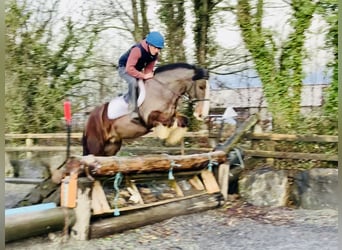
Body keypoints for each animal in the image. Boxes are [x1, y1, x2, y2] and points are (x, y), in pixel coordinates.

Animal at [83, 62, 211, 156]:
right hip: (96, 146)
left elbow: (183, 120)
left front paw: (172, 138)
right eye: (201, 87)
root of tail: (90, 118)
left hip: (111, 146)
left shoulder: (172, 114)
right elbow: (165, 120)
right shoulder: (150, 117)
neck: (162, 90)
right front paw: (164, 134)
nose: (201, 115)